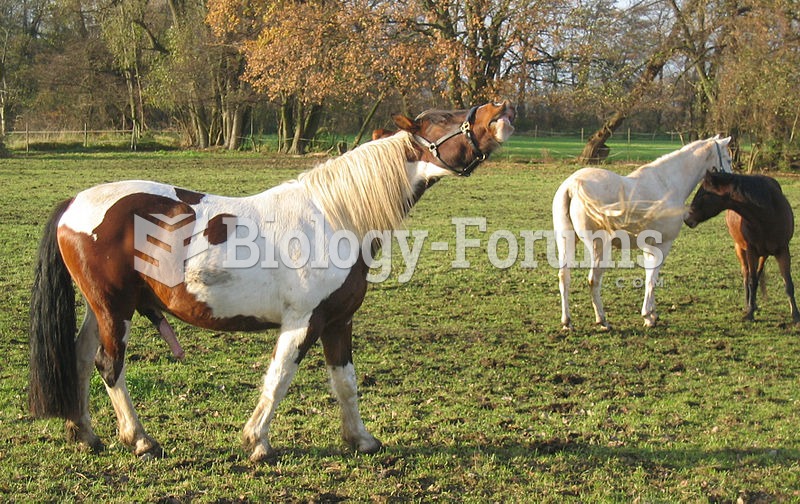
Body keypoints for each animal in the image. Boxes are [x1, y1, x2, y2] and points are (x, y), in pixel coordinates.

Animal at [28, 100, 516, 462]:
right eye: (445, 118)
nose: (500, 108)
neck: (335, 217)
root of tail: (74, 203)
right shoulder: (303, 321)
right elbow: (279, 377)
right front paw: (257, 442)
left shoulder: (338, 322)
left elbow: (345, 383)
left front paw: (361, 440)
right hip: (115, 309)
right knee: (109, 367)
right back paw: (141, 440)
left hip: (103, 310)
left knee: (79, 358)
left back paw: (84, 433)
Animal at [680, 171, 800, 322]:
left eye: (702, 194)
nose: (687, 219)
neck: (767, 214)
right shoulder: (751, 251)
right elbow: (751, 281)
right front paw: (749, 313)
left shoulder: (783, 250)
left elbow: (788, 284)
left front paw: (796, 315)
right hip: (740, 249)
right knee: (746, 275)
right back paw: (748, 304)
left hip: (764, 254)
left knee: (758, 273)